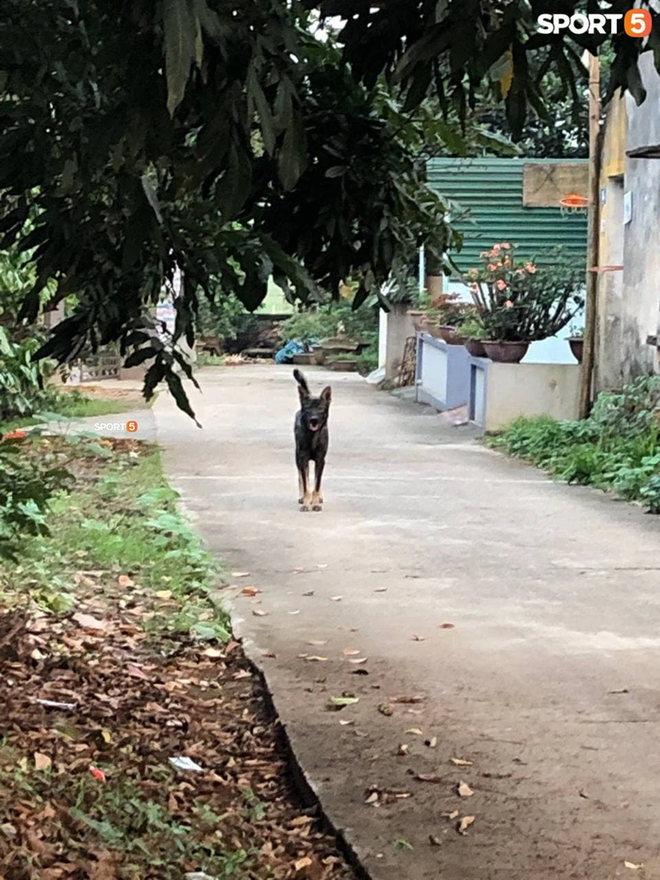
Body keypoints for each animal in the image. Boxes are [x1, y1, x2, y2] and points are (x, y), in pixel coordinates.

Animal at [296, 368, 332, 512]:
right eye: (308, 409)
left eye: (321, 409)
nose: (314, 420)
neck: (313, 437)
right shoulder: (303, 458)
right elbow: (306, 484)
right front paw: (306, 502)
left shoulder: (320, 460)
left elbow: (317, 484)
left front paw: (315, 502)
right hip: (297, 457)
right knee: (301, 477)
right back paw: (302, 497)